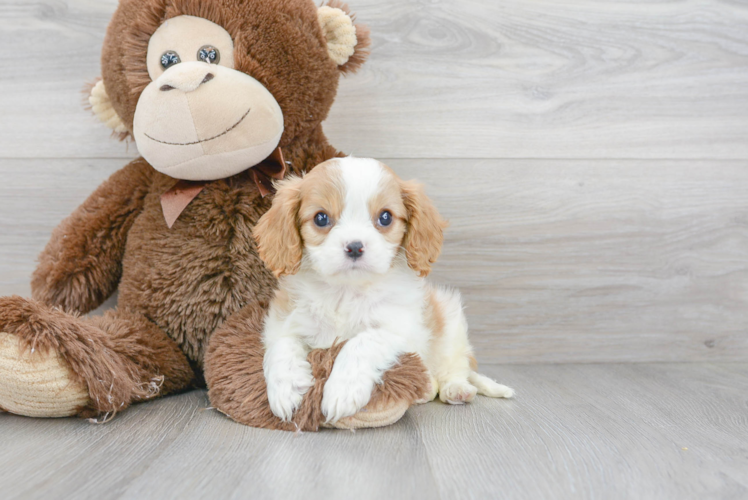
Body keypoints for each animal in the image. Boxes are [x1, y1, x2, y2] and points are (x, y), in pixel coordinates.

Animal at [254, 156, 512, 422]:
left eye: (385, 217)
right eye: (321, 218)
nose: (354, 247)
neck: (346, 291)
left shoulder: (402, 329)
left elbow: (362, 342)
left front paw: (342, 390)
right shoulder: (283, 323)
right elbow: (281, 346)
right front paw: (286, 389)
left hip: (451, 323)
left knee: (455, 366)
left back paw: (456, 388)